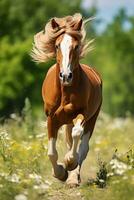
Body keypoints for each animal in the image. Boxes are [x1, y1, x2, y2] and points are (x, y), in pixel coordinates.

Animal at [31, 13, 102, 187]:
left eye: (75, 46)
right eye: (57, 46)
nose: (65, 76)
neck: (64, 93)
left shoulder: (81, 115)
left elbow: (77, 138)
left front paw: (69, 162)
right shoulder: (52, 119)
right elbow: (51, 153)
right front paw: (60, 173)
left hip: (92, 119)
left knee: (83, 147)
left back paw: (73, 177)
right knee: (71, 142)